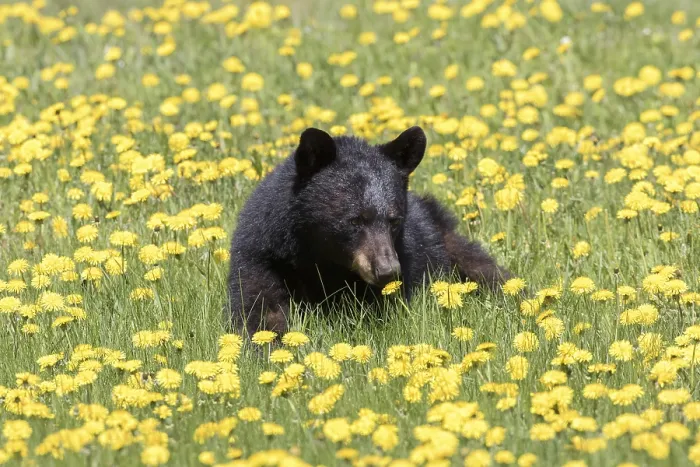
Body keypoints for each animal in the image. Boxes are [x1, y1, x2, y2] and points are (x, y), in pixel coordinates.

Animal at [227, 126, 512, 337]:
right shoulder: (263, 256)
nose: (387, 271)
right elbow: (261, 309)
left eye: (394, 220)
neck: (321, 260)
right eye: (354, 220)